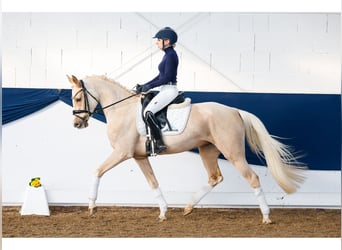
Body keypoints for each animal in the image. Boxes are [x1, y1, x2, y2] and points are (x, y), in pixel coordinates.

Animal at [66, 74, 304, 225]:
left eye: (77, 98)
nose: (77, 124)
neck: (122, 110)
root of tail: (234, 110)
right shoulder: (139, 156)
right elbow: (153, 182)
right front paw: (163, 213)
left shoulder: (122, 153)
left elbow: (97, 171)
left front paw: (91, 206)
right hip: (208, 150)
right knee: (215, 177)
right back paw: (188, 207)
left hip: (233, 152)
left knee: (252, 178)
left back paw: (266, 217)